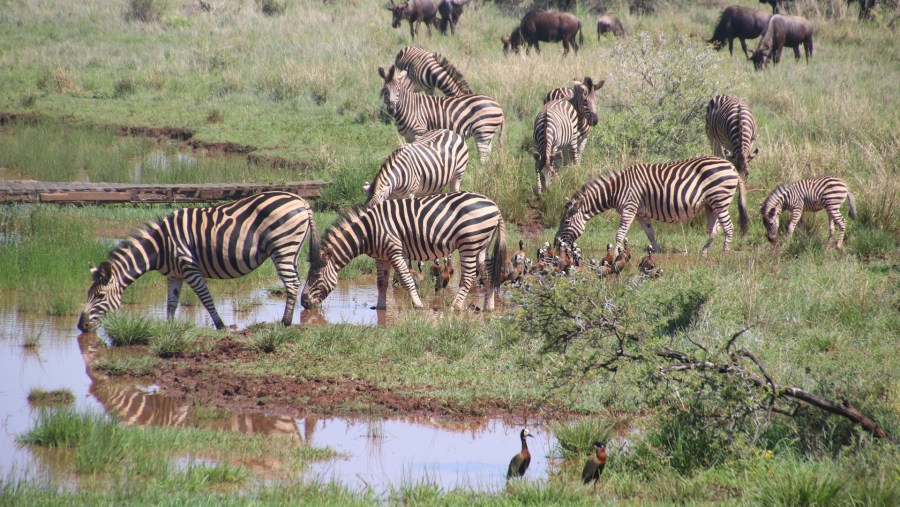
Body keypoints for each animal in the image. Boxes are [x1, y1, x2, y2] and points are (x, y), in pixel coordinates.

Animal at [76, 192, 320, 332]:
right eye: (88, 294)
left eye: (100, 296)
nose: (80, 326)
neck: (160, 247)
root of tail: (300, 200)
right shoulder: (174, 274)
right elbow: (171, 303)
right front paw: (169, 328)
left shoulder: (189, 268)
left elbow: (206, 298)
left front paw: (220, 326)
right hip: (292, 249)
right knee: (295, 280)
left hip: (282, 246)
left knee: (292, 284)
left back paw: (285, 322)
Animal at [300, 192, 506, 312]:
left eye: (315, 276)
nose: (303, 303)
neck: (368, 232)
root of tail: (494, 205)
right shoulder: (381, 257)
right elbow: (381, 283)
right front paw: (380, 307)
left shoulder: (395, 251)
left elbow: (406, 280)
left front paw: (418, 304)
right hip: (481, 245)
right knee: (488, 274)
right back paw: (489, 307)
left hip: (469, 242)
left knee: (470, 276)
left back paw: (455, 306)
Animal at [378, 63, 506, 163]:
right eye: (385, 90)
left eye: (398, 90)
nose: (391, 109)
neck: (409, 107)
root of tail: (498, 105)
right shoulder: (407, 136)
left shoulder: (419, 132)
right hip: (488, 134)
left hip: (483, 131)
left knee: (483, 157)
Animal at [556, 157, 752, 256]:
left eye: (566, 222)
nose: (556, 244)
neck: (617, 189)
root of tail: (732, 167)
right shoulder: (641, 214)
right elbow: (650, 233)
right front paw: (657, 251)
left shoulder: (629, 208)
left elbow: (620, 233)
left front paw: (616, 251)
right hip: (710, 205)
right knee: (714, 230)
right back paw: (704, 252)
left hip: (720, 200)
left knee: (728, 227)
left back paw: (725, 253)